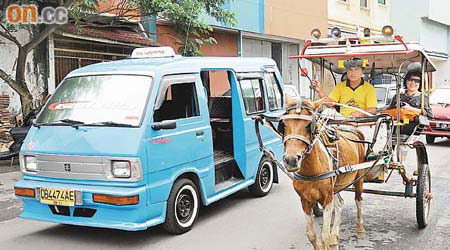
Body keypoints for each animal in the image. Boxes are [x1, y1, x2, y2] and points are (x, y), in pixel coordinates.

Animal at [282, 96, 370, 249]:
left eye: (308, 125)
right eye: (284, 124)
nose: (291, 160)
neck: (311, 170)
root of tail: (353, 129)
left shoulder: (327, 198)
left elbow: (324, 236)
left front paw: (328, 240)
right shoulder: (305, 200)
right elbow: (311, 235)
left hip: (359, 177)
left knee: (358, 200)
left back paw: (360, 228)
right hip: (335, 186)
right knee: (340, 203)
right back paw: (335, 236)